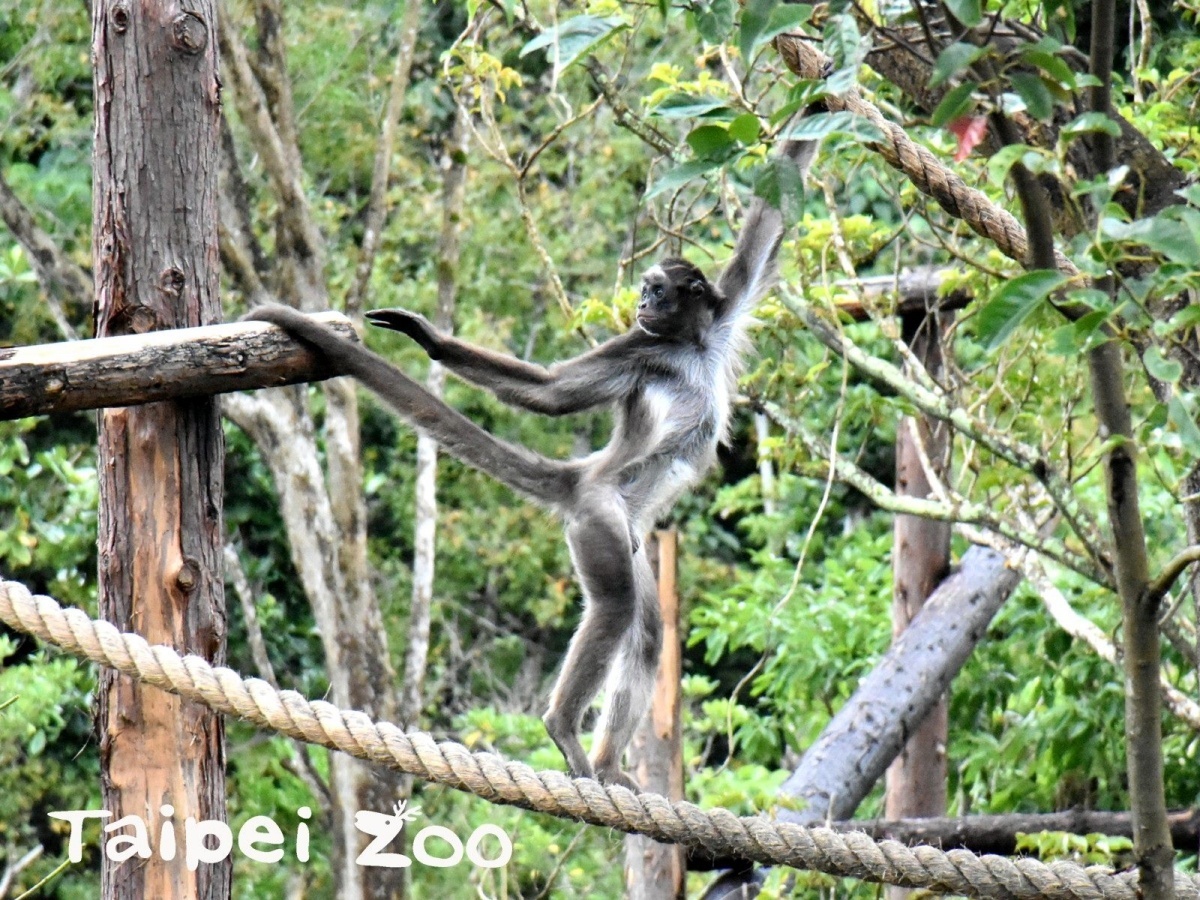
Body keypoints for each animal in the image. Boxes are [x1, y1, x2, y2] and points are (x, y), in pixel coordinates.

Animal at [248, 139, 820, 787]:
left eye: (659, 291)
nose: (641, 302)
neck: (688, 348)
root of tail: (584, 476)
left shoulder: (720, 315)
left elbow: (770, 214)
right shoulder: (640, 348)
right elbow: (550, 393)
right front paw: (433, 341)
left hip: (630, 538)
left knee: (647, 632)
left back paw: (608, 763)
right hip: (600, 519)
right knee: (616, 606)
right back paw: (562, 729)